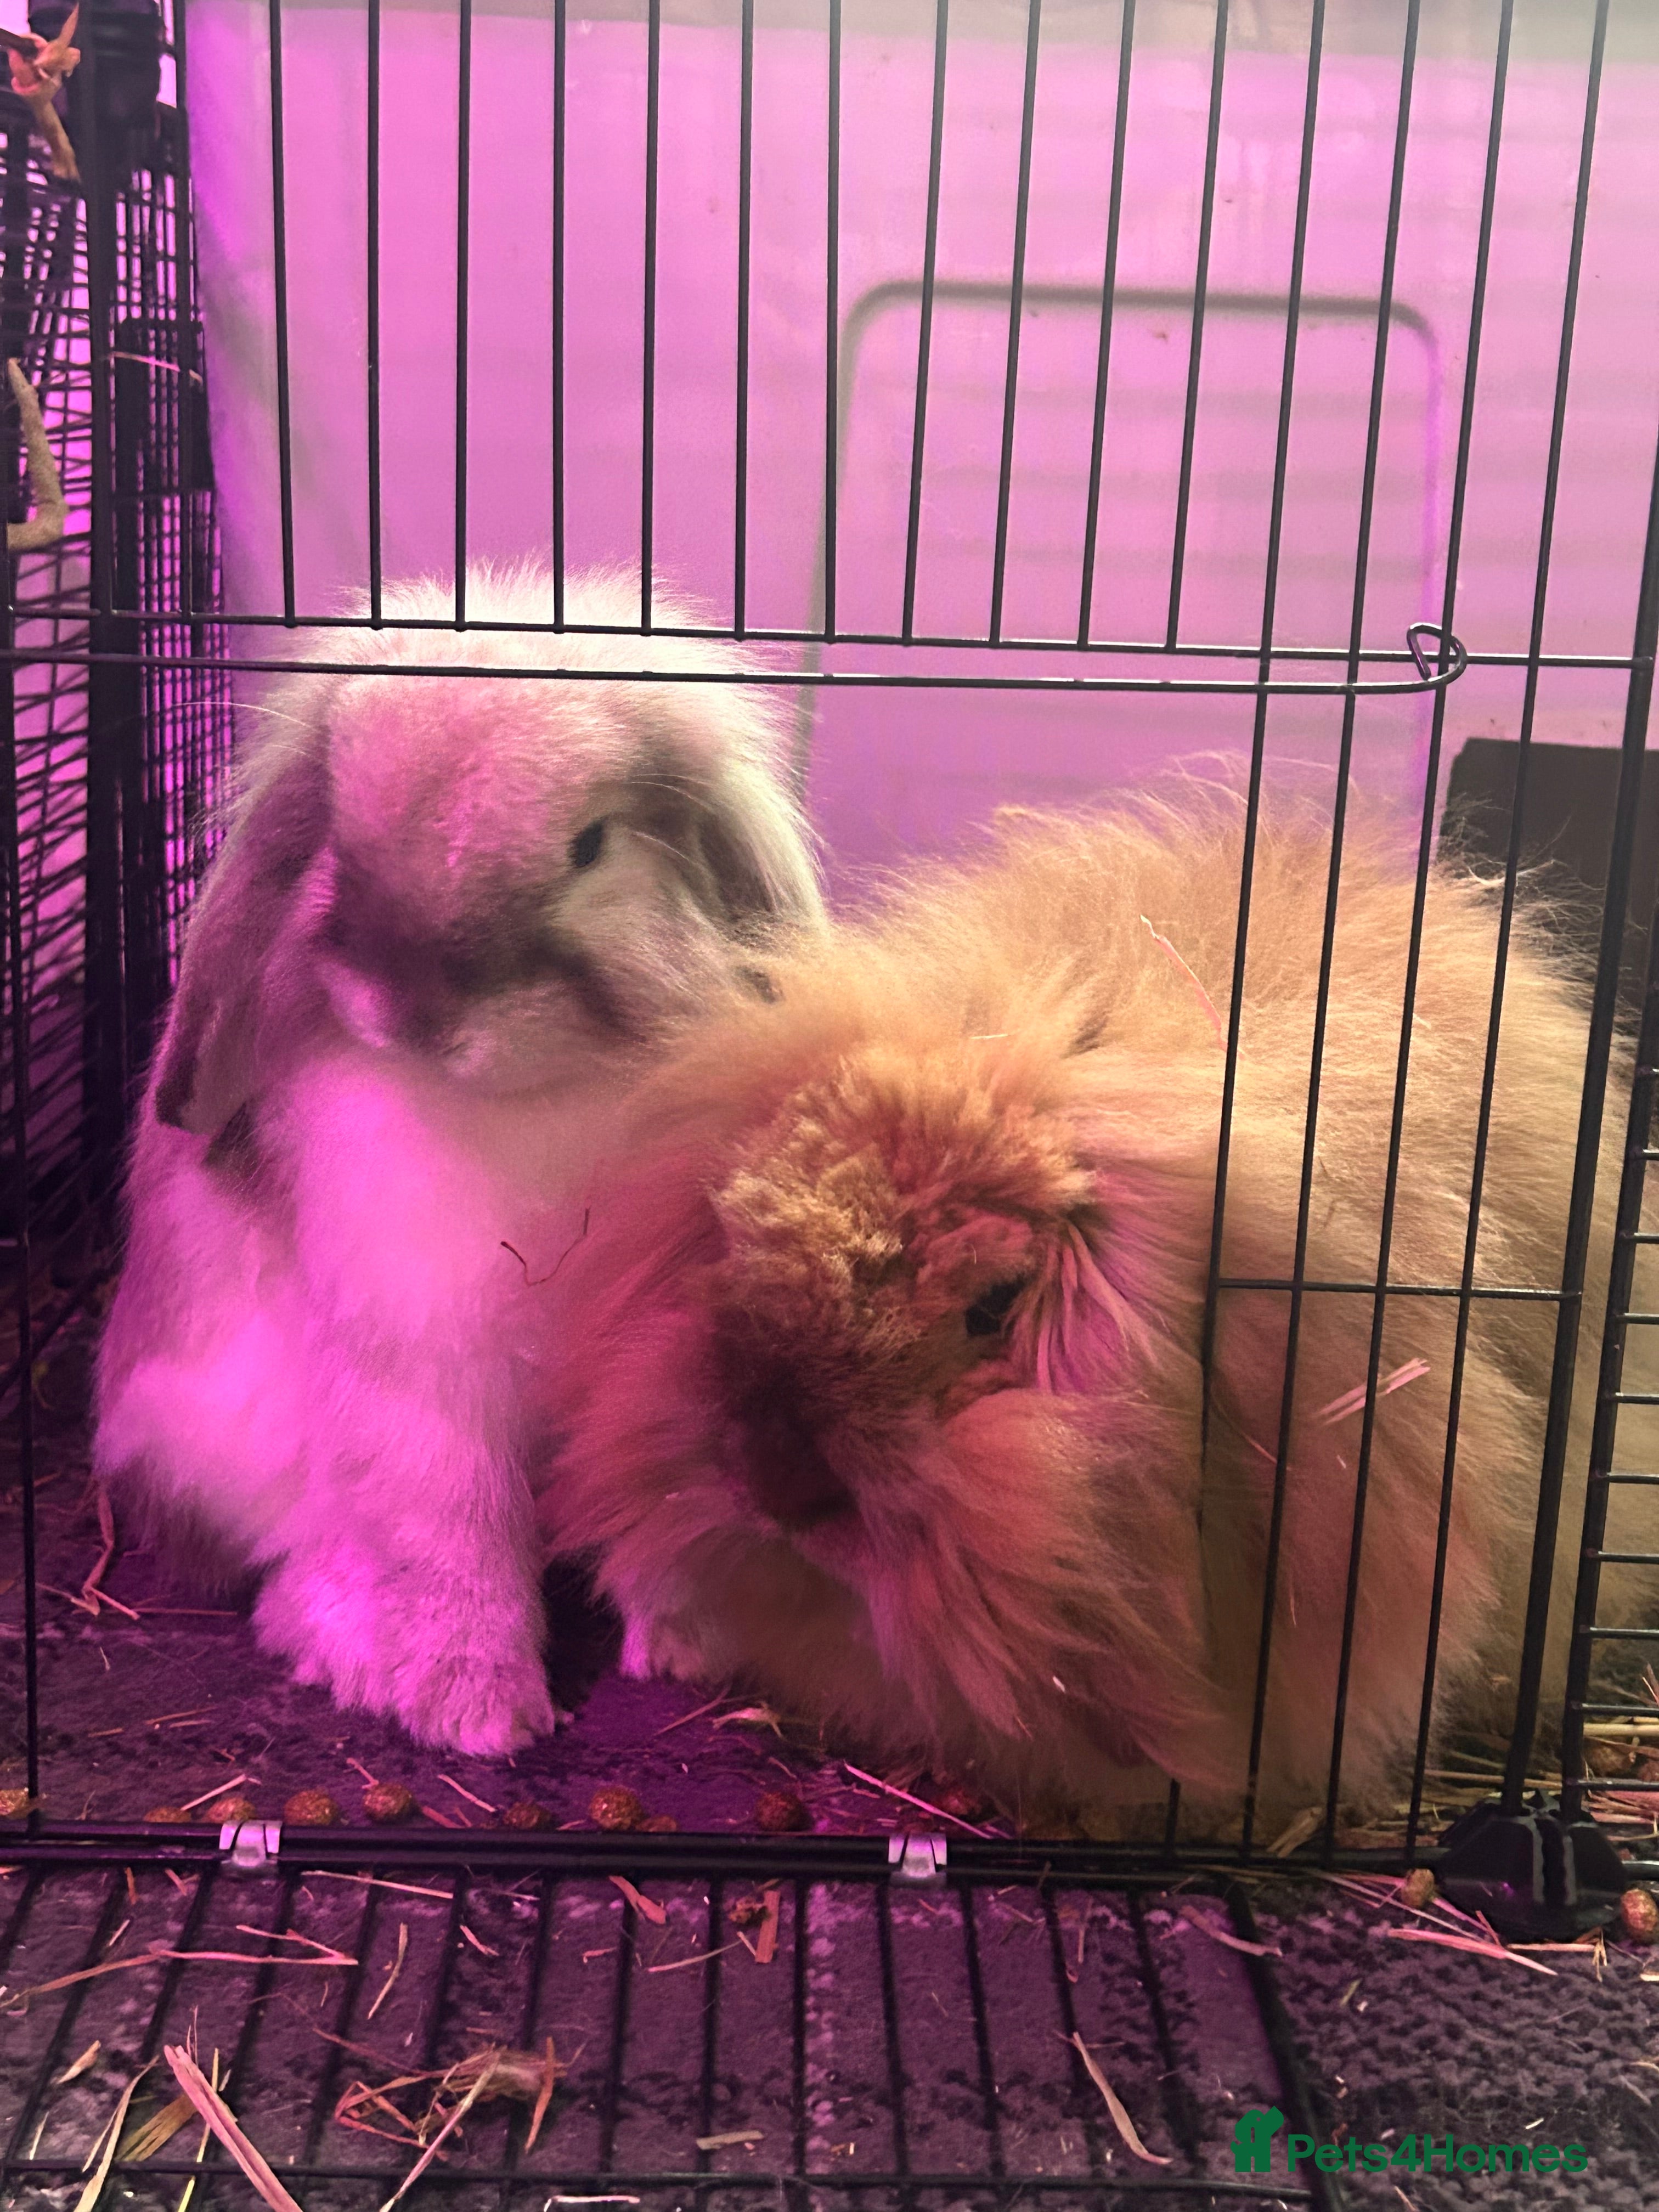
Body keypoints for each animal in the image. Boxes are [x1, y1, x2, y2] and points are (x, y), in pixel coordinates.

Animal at [94, 562, 824, 1755]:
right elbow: (452, 1542)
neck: (528, 1100)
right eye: (339, 845)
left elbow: (660, 1516)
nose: (411, 1009)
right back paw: (346, 1645)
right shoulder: (423, 1374)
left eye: (590, 844)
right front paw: (477, 1713)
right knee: (311, 1563)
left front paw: (687, 1650)